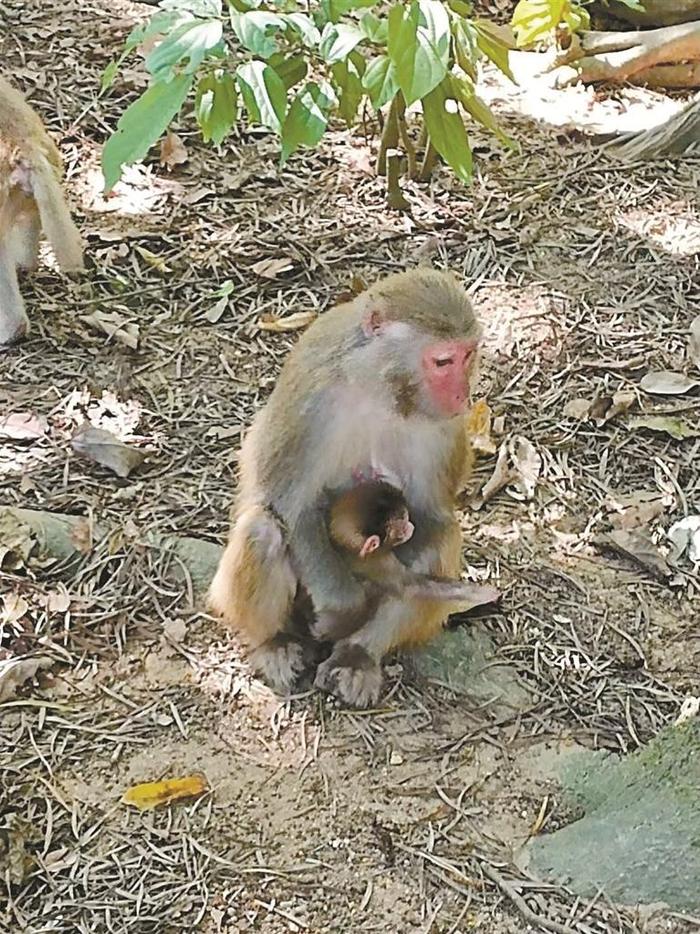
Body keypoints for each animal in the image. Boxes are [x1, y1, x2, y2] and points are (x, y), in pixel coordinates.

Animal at [330, 478, 498, 612]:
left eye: (405, 517)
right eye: (403, 523)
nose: (410, 525)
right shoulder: (384, 566)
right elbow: (419, 588)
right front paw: (485, 593)